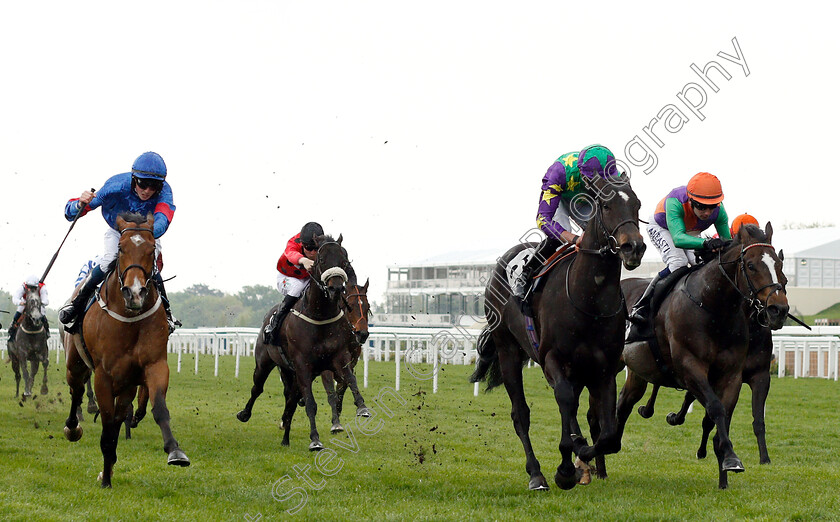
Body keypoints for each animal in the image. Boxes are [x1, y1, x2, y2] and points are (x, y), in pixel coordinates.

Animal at [62, 212, 189, 488]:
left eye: (152, 250)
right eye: (121, 248)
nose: (135, 293)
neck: (130, 319)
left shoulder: (154, 365)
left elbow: (158, 408)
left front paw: (174, 450)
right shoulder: (103, 375)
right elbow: (107, 424)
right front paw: (106, 478)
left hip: (127, 384)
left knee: (119, 415)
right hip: (75, 364)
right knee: (77, 391)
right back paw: (73, 428)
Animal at [472, 175, 644, 488]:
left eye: (637, 204)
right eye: (605, 204)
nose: (633, 247)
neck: (589, 298)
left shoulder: (604, 368)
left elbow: (609, 436)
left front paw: (582, 455)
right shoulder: (552, 357)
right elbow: (565, 400)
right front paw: (565, 468)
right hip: (508, 350)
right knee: (521, 414)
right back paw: (536, 473)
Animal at [612, 220, 788, 488]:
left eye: (779, 266)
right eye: (750, 265)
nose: (778, 310)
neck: (714, 308)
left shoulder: (735, 375)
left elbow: (723, 415)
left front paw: (726, 469)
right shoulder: (690, 367)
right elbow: (715, 408)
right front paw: (729, 456)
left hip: (638, 371)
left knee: (625, 402)